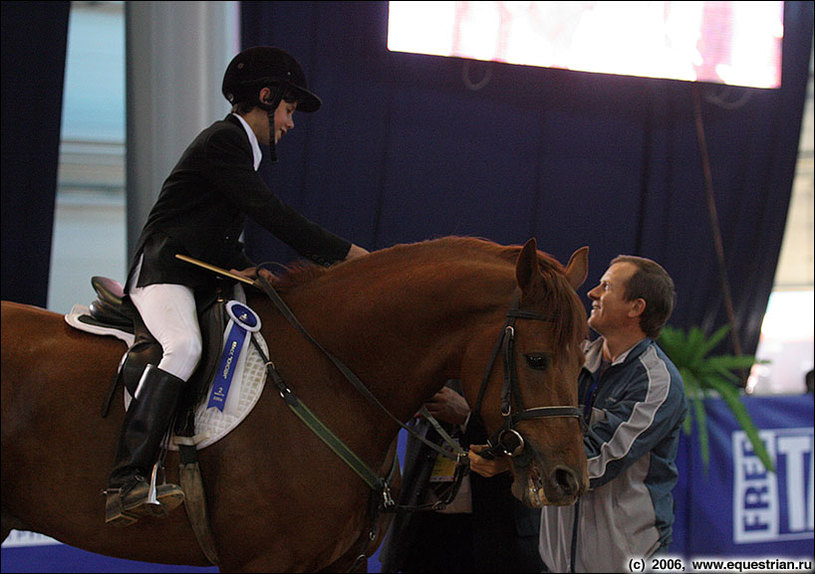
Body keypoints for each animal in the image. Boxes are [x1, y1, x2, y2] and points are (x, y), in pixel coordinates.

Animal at [0, 236, 588, 572]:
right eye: (537, 359)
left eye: (582, 355)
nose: (569, 480)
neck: (330, 377)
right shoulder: (266, 563)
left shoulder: (342, 566)